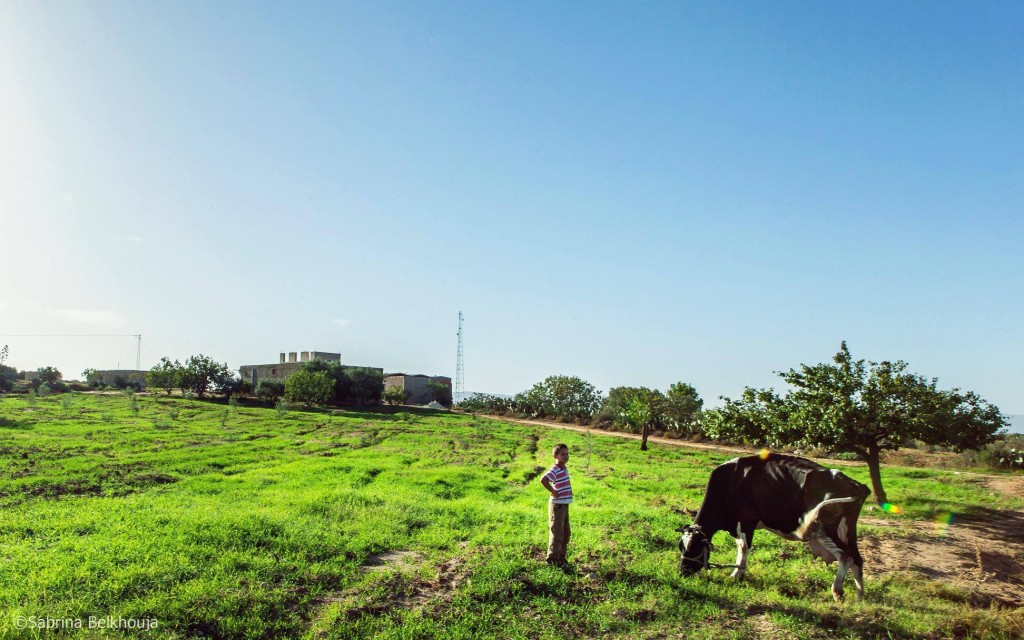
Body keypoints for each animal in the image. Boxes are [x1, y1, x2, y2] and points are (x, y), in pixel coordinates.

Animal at [675, 452, 868, 602]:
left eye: (694, 547)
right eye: (681, 547)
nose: (681, 572)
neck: (731, 481)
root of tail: (858, 486)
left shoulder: (746, 522)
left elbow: (744, 548)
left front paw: (737, 575)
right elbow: (740, 546)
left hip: (823, 529)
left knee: (846, 556)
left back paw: (837, 591)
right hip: (846, 530)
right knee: (857, 560)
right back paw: (859, 599)